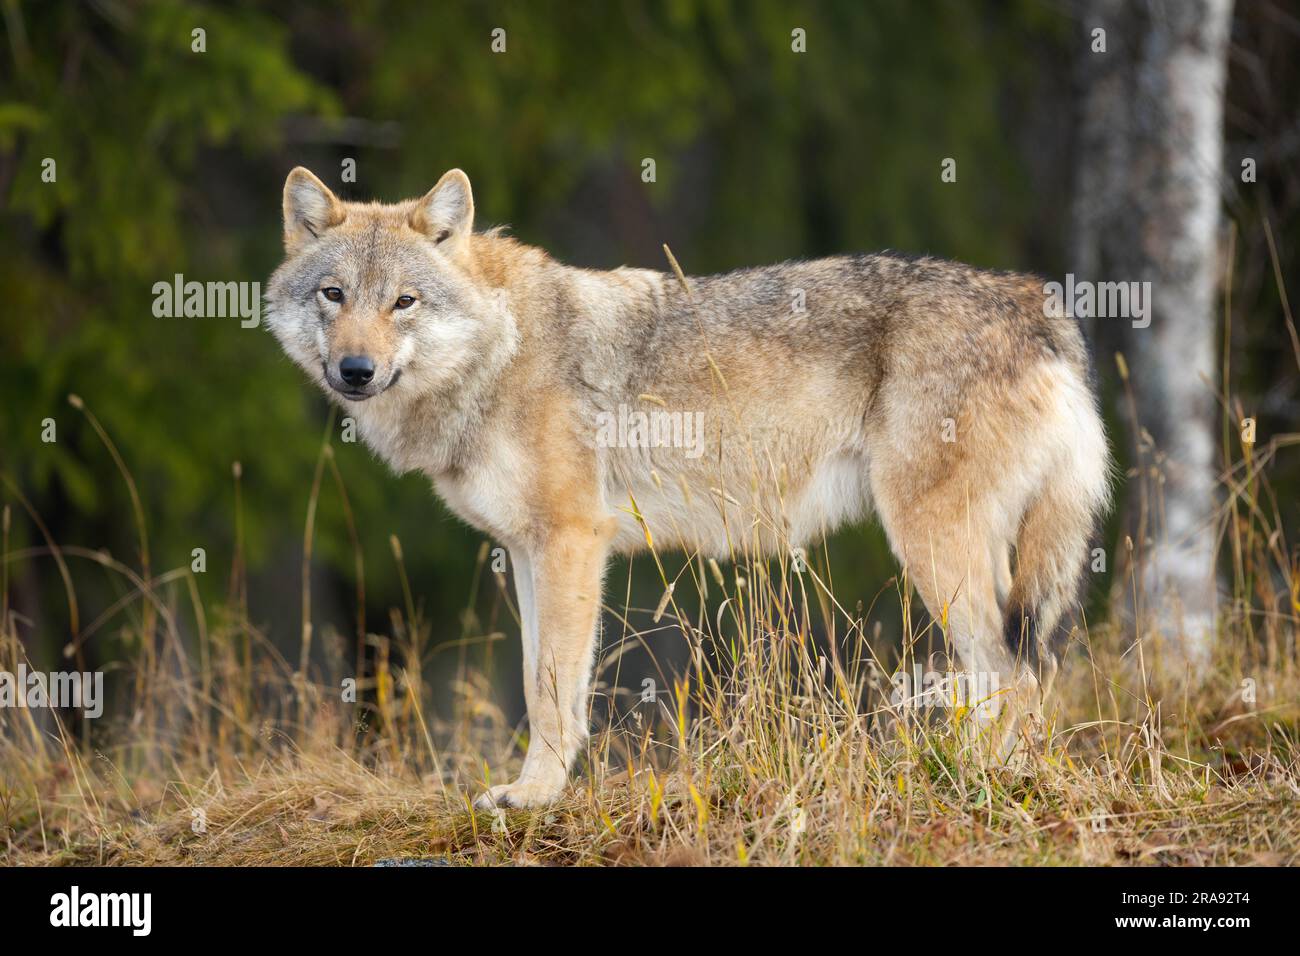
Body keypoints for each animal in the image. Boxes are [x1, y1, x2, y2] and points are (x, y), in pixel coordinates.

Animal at [263, 166, 1107, 806]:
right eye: (334, 295)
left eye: (403, 301)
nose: (355, 370)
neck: (498, 351)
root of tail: (1040, 304)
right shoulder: (528, 553)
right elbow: (543, 686)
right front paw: (531, 790)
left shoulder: (572, 542)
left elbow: (551, 690)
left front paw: (533, 799)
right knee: (1012, 673)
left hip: (934, 546)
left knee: (1013, 674)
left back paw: (978, 779)